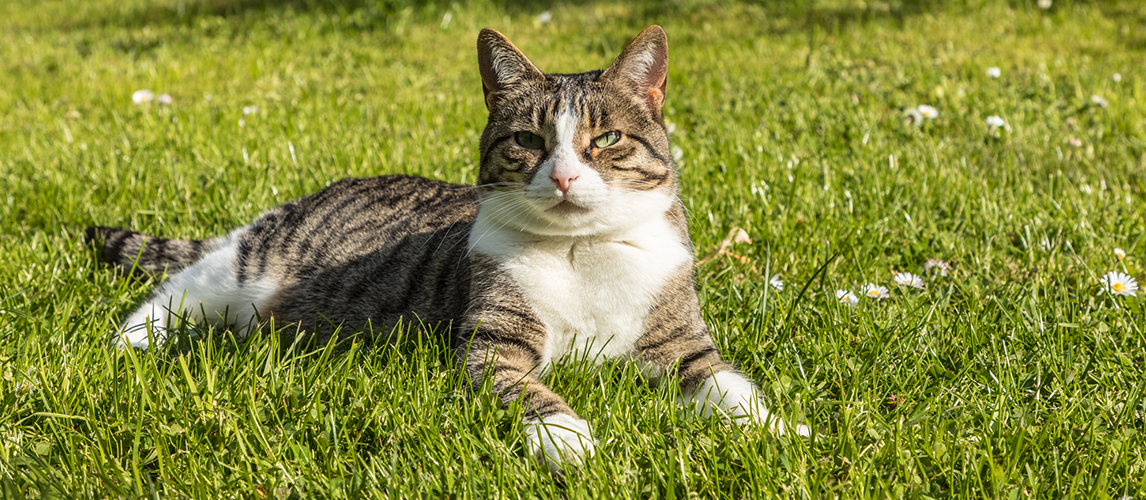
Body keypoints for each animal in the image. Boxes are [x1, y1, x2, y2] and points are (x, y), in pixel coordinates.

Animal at [84, 25, 811, 470]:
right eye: (527, 140)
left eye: (606, 140)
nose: (565, 175)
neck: (582, 252)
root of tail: (313, 194)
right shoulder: (492, 344)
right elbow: (531, 393)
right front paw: (571, 440)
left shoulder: (681, 342)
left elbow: (729, 387)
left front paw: (781, 431)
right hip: (246, 267)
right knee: (175, 291)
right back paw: (123, 348)